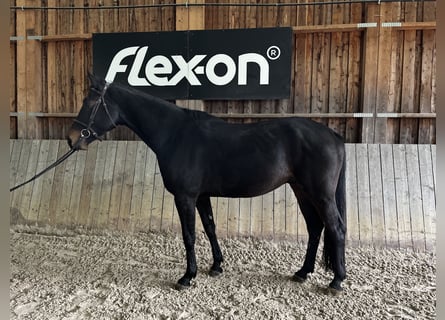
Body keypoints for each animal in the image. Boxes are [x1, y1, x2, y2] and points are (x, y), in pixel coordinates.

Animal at [67, 74, 346, 294]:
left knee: (335, 228)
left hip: (320, 194)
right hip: (301, 191)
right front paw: (216, 266)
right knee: (315, 228)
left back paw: (336, 281)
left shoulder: (185, 197)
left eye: (89, 102)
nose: (71, 138)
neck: (175, 134)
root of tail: (332, 135)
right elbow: (210, 227)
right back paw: (303, 272)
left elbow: (189, 235)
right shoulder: (201, 196)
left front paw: (187, 277)